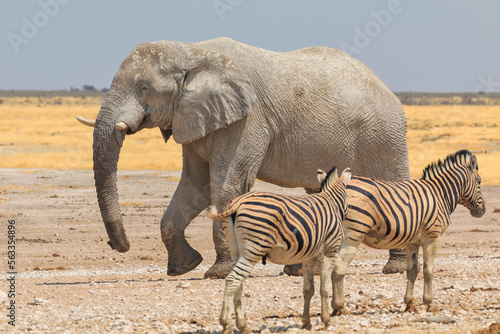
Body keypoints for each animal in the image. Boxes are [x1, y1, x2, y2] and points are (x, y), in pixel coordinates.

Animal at [78, 36, 410, 278]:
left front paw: (218, 273)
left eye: (144, 88)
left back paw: (395, 268)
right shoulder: (194, 117)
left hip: (385, 133)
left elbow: (227, 185)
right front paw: (182, 268)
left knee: (393, 186)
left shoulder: (247, 120)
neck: (192, 51)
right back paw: (301, 270)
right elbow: (196, 187)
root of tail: (386, 86)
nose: (119, 245)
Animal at [207, 166, 352, 332]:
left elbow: (308, 290)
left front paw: (306, 323)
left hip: (235, 249)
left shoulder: (308, 258)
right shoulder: (330, 252)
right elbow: (324, 288)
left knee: (239, 283)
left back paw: (243, 325)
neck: (331, 202)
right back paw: (225, 324)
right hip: (254, 249)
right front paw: (326, 320)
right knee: (232, 280)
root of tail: (237, 203)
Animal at [318, 150, 486, 314]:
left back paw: (334, 308)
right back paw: (341, 307)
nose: (483, 211)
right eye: (479, 181)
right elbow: (428, 270)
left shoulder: (412, 242)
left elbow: (412, 270)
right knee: (339, 268)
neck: (440, 194)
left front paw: (409, 304)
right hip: (353, 235)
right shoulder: (432, 237)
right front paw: (430, 304)